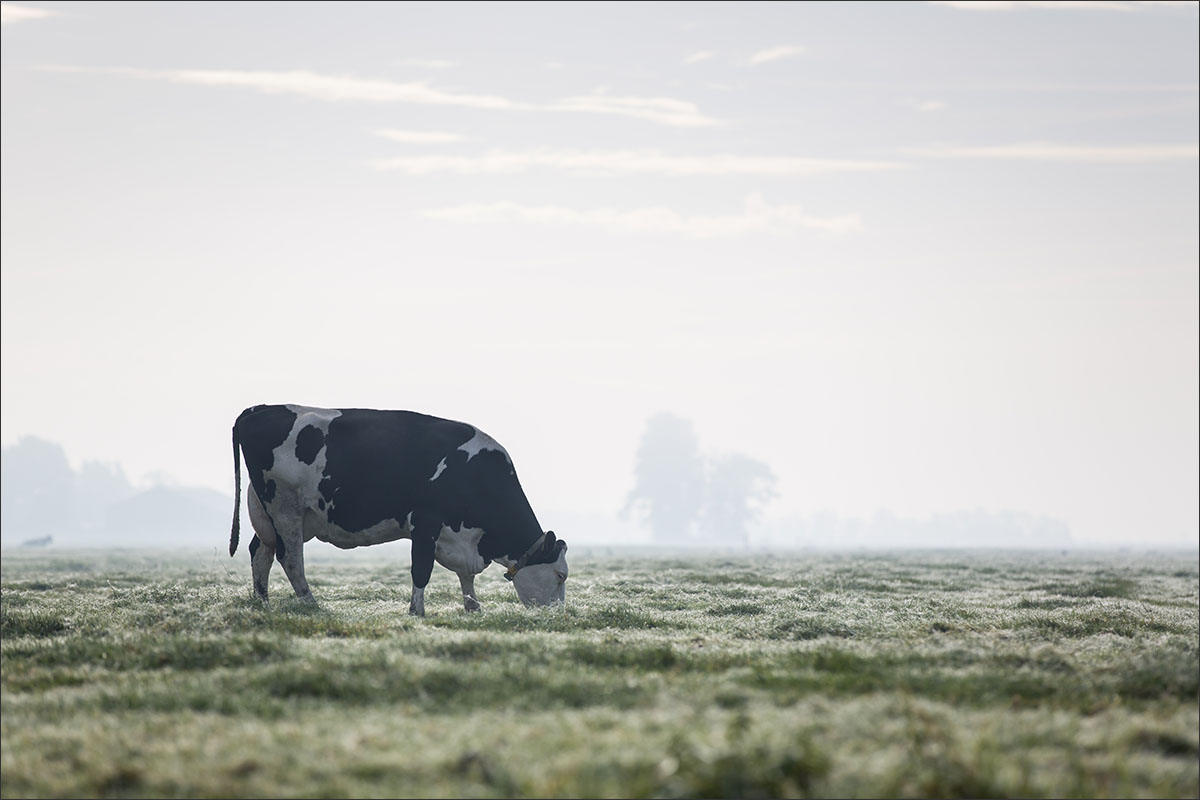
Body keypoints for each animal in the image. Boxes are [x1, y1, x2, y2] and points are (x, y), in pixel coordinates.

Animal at [228, 404, 568, 616]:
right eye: (561, 574)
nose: (561, 615)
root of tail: (259, 409)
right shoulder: (426, 521)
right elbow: (422, 568)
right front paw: (417, 611)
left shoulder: (460, 538)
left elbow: (465, 576)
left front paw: (473, 607)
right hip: (285, 506)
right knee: (290, 557)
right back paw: (310, 603)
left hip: (268, 513)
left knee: (260, 551)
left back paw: (263, 602)